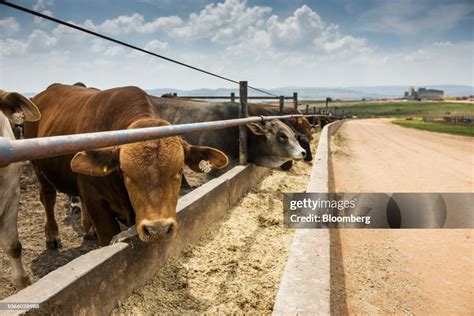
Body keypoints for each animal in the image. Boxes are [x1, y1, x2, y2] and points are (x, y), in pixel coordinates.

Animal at [25, 84, 229, 247]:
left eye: (179, 171)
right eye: (125, 173)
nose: (158, 230)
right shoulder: (96, 203)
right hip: (39, 170)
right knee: (48, 197)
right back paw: (52, 236)